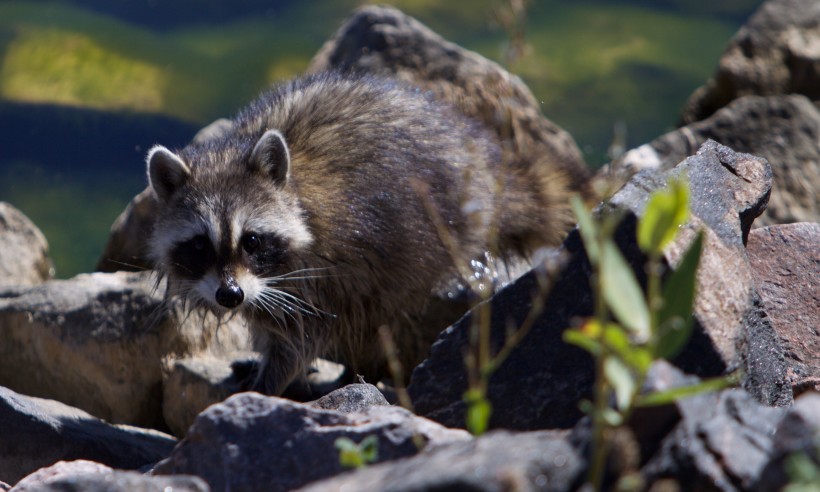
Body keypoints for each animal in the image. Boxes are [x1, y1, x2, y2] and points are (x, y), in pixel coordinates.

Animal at [144, 73, 572, 396]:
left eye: (251, 241)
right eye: (200, 245)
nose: (230, 296)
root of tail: (483, 161)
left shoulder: (334, 260)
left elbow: (304, 334)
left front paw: (270, 382)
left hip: (424, 238)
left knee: (377, 312)